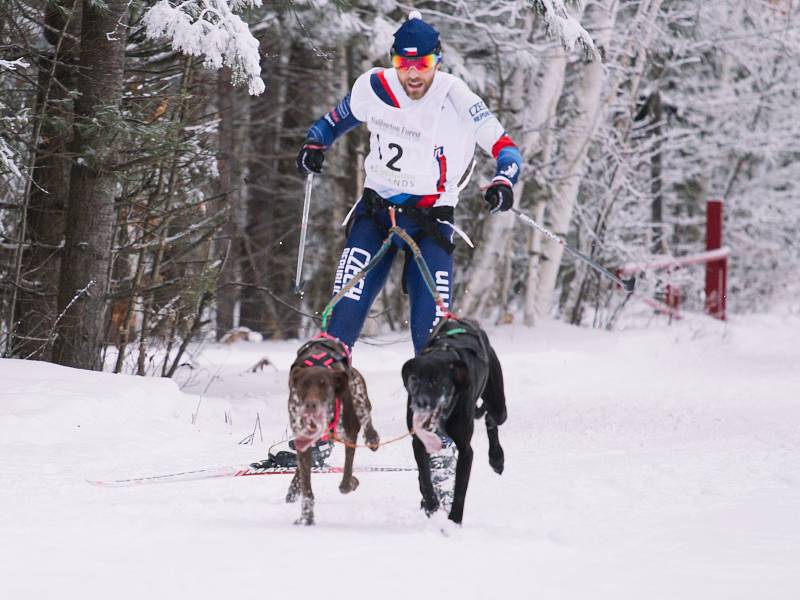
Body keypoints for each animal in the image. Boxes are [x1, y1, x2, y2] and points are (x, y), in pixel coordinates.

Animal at [286, 336, 380, 528]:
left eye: (324, 385)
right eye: (304, 385)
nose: (311, 405)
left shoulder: (350, 435)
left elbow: (345, 479)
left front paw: (352, 482)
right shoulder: (303, 441)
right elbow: (307, 487)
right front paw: (306, 518)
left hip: (359, 394)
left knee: (366, 417)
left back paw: (372, 438)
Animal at [400, 316, 506, 524]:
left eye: (437, 381)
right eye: (414, 379)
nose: (421, 403)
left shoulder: (465, 450)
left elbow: (460, 489)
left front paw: (454, 521)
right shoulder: (419, 442)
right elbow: (425, 476)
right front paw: (431, 504)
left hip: (498, 405)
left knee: (492, 418)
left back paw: (497, 457)